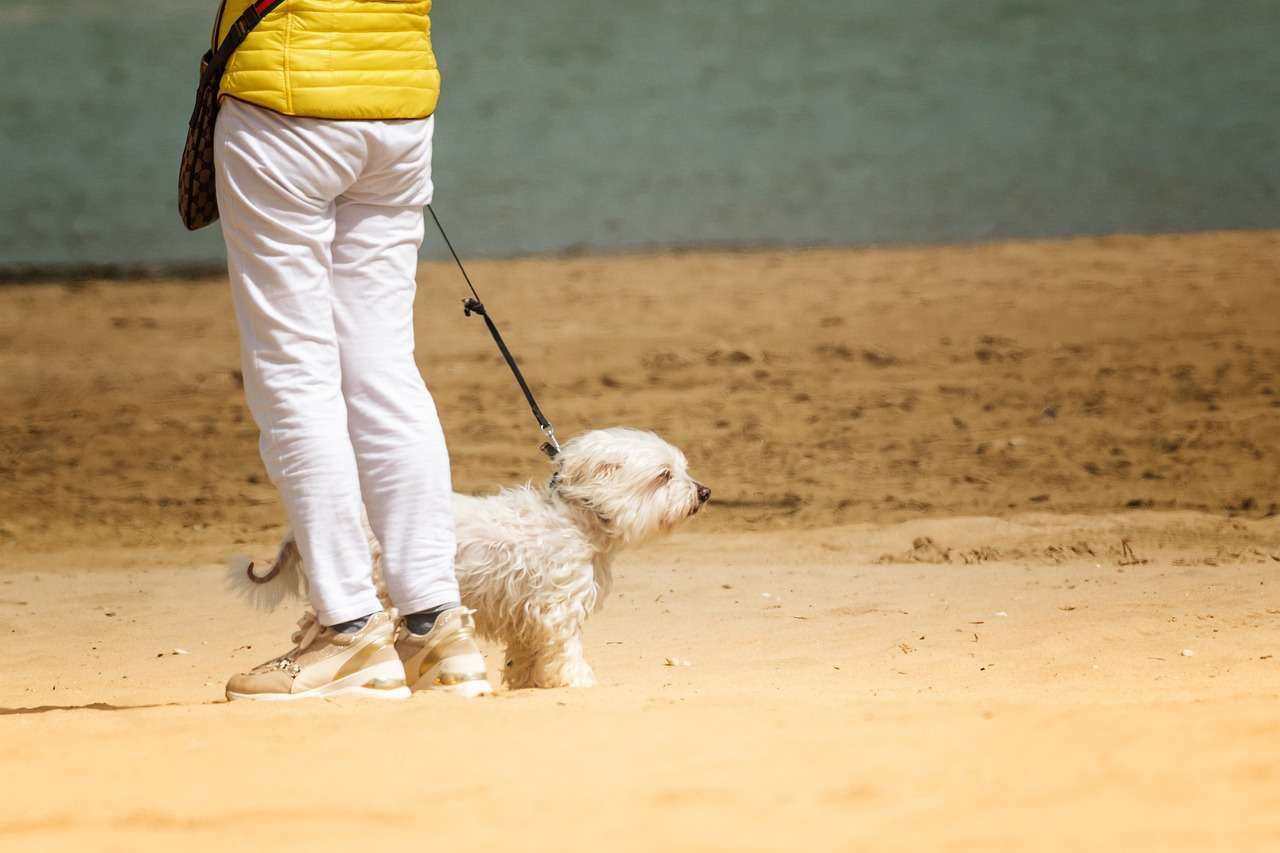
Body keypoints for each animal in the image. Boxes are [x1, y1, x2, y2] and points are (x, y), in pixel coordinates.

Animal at [231, 427, 711, 686]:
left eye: (682, 471)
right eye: (664, 476)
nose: (705, 492)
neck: (574, 518)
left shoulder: (529, 612)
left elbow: (527, 653)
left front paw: (528, 683)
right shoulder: (558, 608)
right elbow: (565, 649)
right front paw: (577, 681)